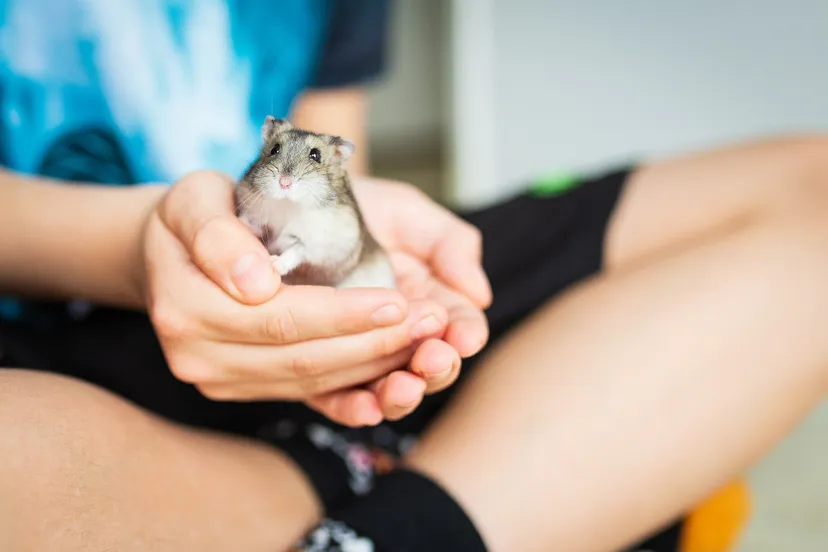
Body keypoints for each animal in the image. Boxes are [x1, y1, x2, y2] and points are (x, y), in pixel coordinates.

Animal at [234, 116, 397, 289]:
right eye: (274, 149)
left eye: (315, 155)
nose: (284, 183)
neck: (287, 204)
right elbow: (254, 222)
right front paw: (246, 224)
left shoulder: (318, 243)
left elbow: (296, 250)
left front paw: (274, 264)